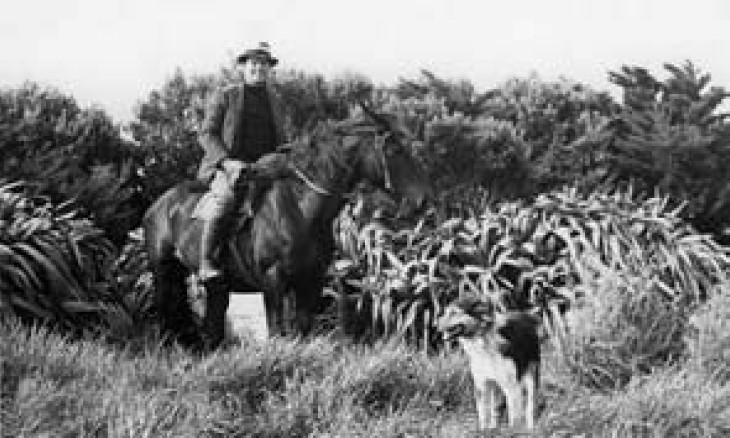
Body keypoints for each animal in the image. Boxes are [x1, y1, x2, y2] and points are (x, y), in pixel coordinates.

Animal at [140, 114, 430, 348]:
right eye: (394, 149)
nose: (423, 200)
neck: (300, 208)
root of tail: (157, 205)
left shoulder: (310, 283)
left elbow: (302, 331)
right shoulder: (273, 282)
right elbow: (277, 332)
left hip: (216, 288)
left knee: (213, 325)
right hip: (164, 273)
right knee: (166, 317)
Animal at [432, 296, 540, 430]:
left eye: (454, 313)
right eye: (445, 312)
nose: (434, 326)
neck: (482, 341)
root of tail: (524, 315)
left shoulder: (511, 386)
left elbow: (514, 417)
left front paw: (512, 431)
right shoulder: (481, 384)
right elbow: (483, 413)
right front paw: (484, 431)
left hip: (531, 375)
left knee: (530, 405)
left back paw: (530, 428)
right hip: (494, 384)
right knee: (493, 408)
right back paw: (493, 427)